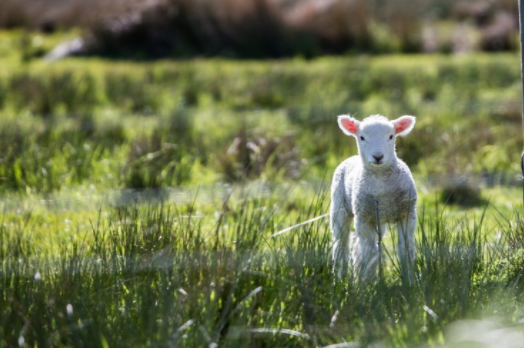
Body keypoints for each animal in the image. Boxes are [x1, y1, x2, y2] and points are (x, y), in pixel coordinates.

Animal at [332, 114, 418, 280]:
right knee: (342, 245)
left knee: (358, 247)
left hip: (379, 219)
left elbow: (405, 249)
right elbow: (370, 253)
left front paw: (410, 280)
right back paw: (341, 277)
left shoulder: (407, 213)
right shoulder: (364, 217)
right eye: (362, 137)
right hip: (339, 207)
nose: (378, 156)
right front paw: (368, 283)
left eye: (391, 136)